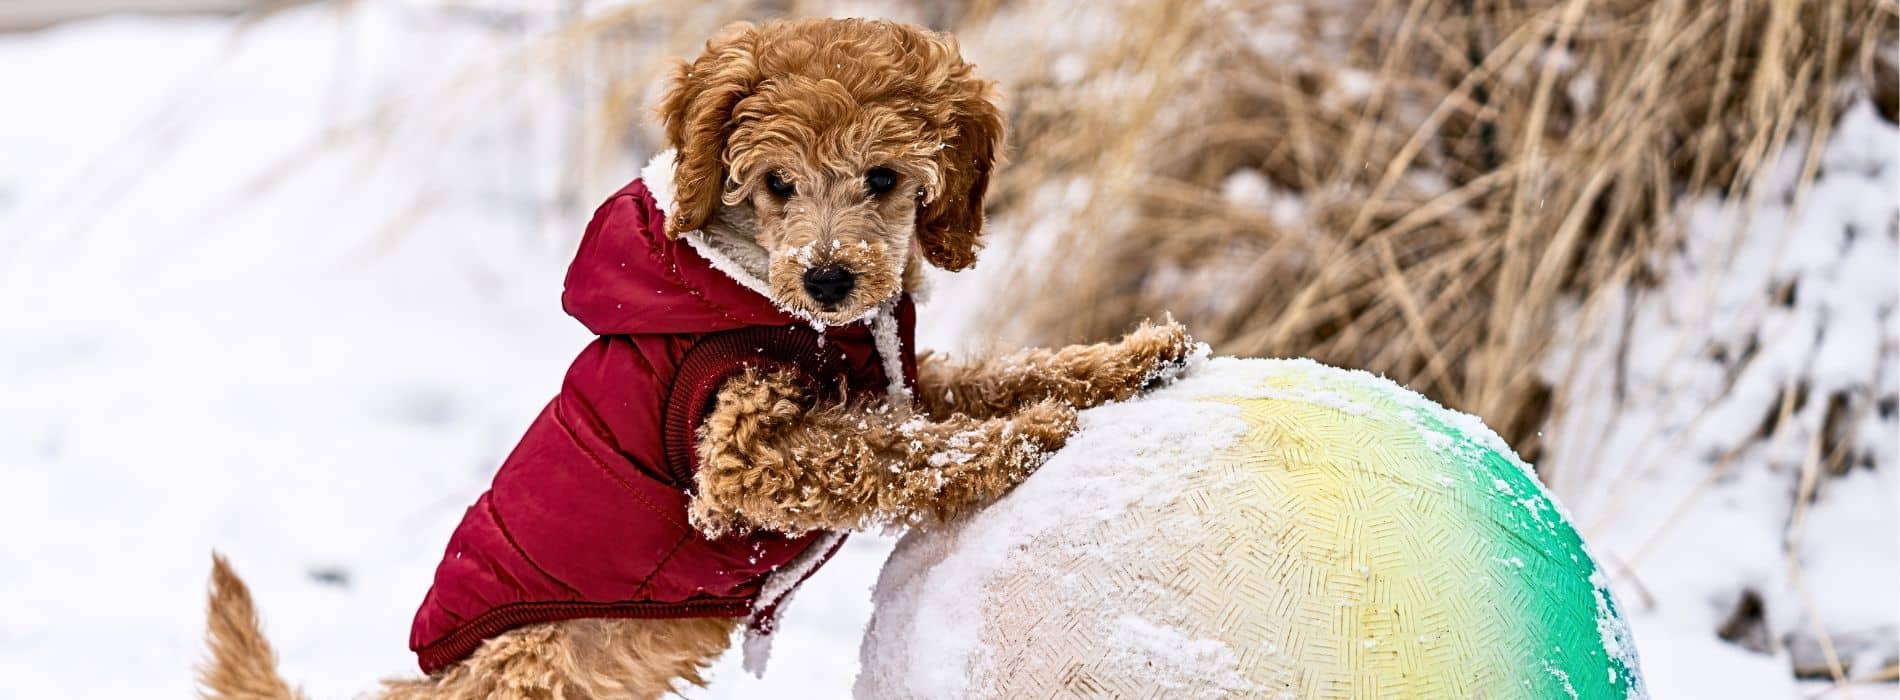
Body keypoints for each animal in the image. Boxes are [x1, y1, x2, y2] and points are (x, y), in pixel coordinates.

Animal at [200, 17, 1193, 700]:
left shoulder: (903, 380)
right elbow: (883, 452)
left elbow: (993, 375)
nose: (828, 277)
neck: (775, 298)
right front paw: (1023, 439)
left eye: (883, 178)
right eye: (778, 183)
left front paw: (1135, 358)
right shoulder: (739, 455)